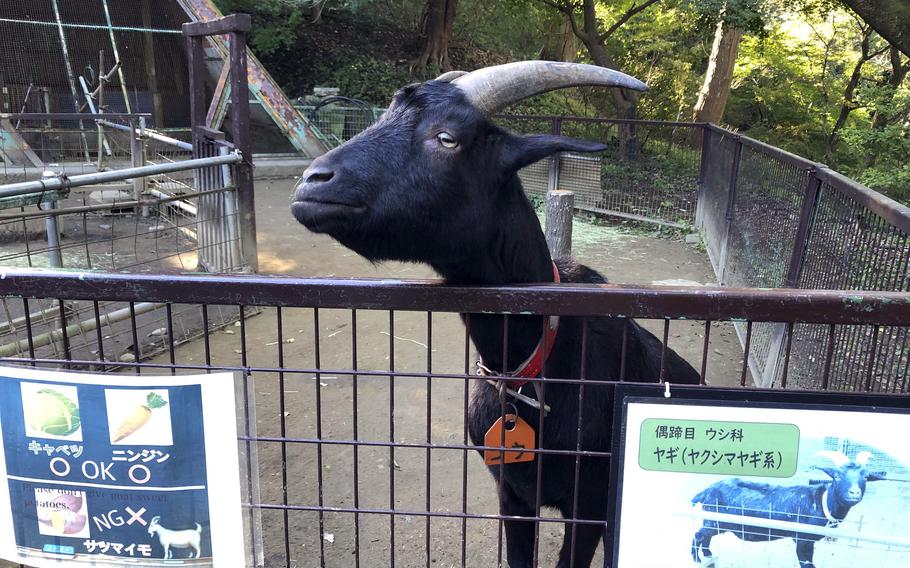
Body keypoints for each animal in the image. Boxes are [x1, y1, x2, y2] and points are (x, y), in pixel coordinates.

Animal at [696, 450, 888, 564]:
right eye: (837, 476)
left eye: (866, 477)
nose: (854, 493)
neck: (821, 502)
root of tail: (706, 491)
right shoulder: (803, 539)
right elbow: (807, 562)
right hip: (714, 521)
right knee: (699, 535)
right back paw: (698, 559)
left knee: (705, 537)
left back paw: (708, 556)